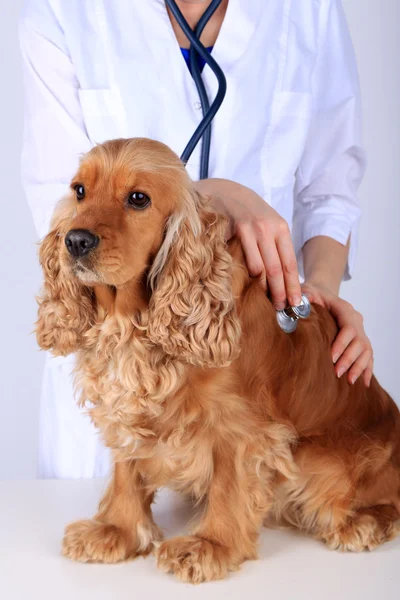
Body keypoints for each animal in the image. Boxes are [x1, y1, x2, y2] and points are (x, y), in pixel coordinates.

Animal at [35, 137, 400, 580]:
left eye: (138, 199)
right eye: (79, 191)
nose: (75, 240)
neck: (132, 320)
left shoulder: (240, 427)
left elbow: (229, 484)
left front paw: (211, 545)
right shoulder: (127, 403)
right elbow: (127, 467)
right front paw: (116, 530)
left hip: (320, 461)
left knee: (383, 503)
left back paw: (361, 523)